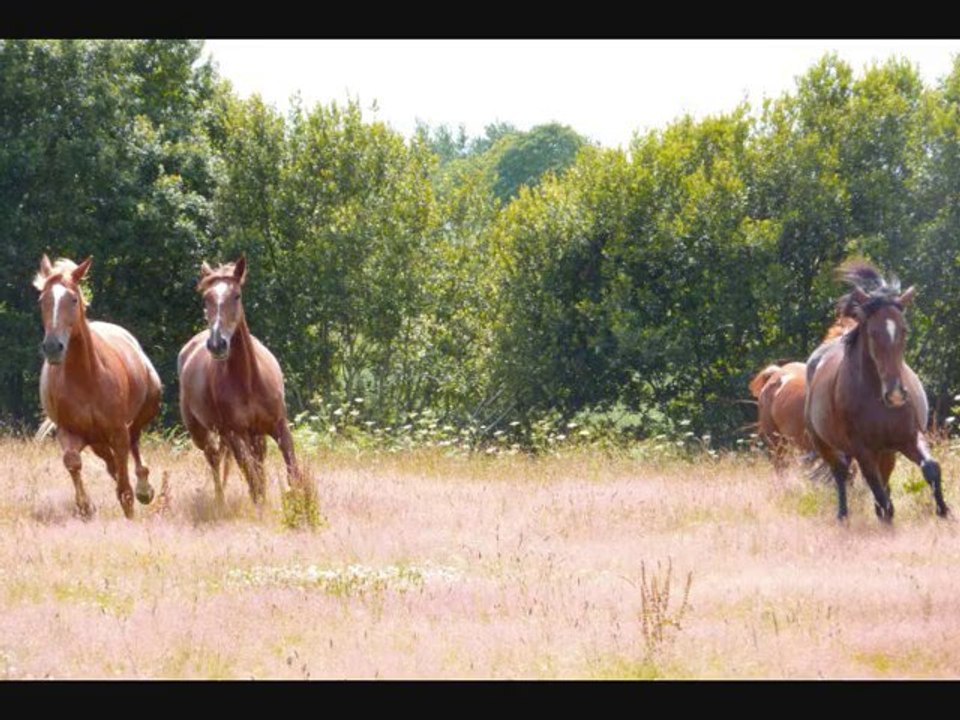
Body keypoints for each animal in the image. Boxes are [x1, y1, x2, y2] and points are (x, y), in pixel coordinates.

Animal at [33, 255, 161, 519]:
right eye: (43, 300)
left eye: (73, 299)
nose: (52, 347)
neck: (86, 380)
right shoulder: (69, 432)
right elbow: (72, 461)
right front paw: (85, 507)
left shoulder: (118, 431)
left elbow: (124, 485)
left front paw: (131, 508)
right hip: (96, 441)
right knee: (112, 464)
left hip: (144, 410)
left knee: (134, 442)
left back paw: (145, 489)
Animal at [177, 256, 306, 507]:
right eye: (206, 298)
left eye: (236, 295)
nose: (217, 344)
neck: (249, 381)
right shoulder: (235, 434)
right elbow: (253, 481)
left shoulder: (279, 427)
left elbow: (292, 472)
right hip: (203, 434)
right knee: (215, 461)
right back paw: (220, 503)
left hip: (256, 437)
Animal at [805, 259, 949, 521]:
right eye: (872, 332)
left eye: (904, 330)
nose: (895, 394)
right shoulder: (863, 451)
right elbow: (877, 490)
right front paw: (886, 519)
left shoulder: (908, 438)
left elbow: (931, 468)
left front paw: (944, 512)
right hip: (824, 443)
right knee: (840, 473)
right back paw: (842, 516)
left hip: (886, 452)